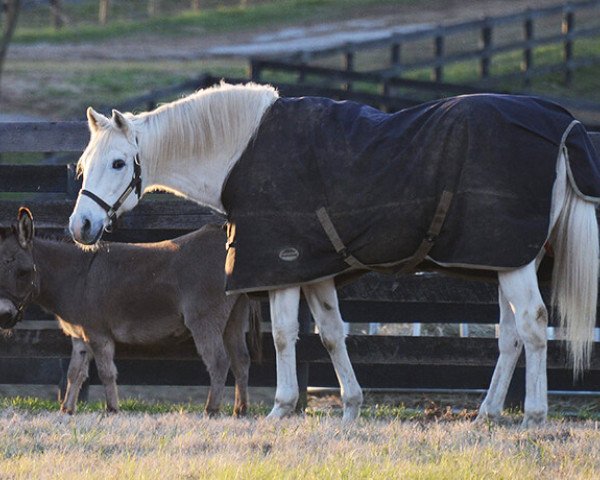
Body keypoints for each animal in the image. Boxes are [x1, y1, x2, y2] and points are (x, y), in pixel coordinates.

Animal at [68, 81, 596, 424]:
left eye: (119, 163)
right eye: (83, 164)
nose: (82, 226)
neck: (243, 152)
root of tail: (562, 124)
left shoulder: (280, 267)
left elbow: (285, 336)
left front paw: (280, 409)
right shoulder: (315, 270)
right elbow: (331, 334)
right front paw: (350, 409)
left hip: (516, 265)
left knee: (533, 325)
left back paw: (534, 415)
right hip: (505, 261)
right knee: (510, 336)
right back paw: (487, 414)